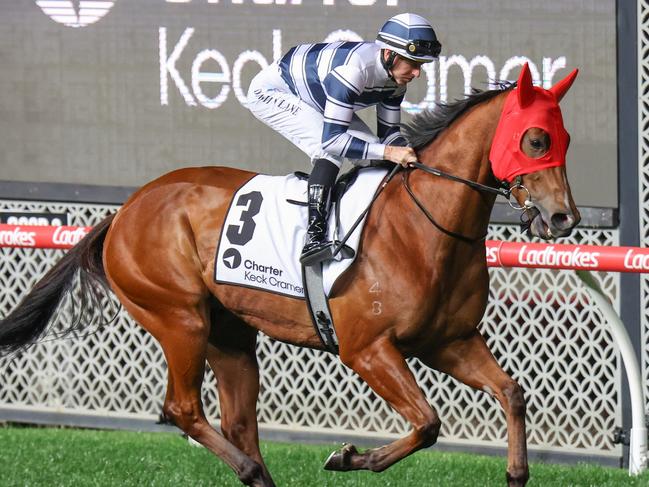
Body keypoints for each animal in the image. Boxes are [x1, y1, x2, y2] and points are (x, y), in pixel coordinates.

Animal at [0, 65, 576, 487]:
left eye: (563, 138)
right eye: (534, 140)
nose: (564, 218)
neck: (424, 226)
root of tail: (124, 211)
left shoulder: (448, 341)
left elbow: (512, 393)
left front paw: (516, 472)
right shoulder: (367, 349)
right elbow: (428, 422)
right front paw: (349, 458)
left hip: (230, 332)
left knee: (237, 420)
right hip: (179, 318)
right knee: (182, 409)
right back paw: (251, 469)